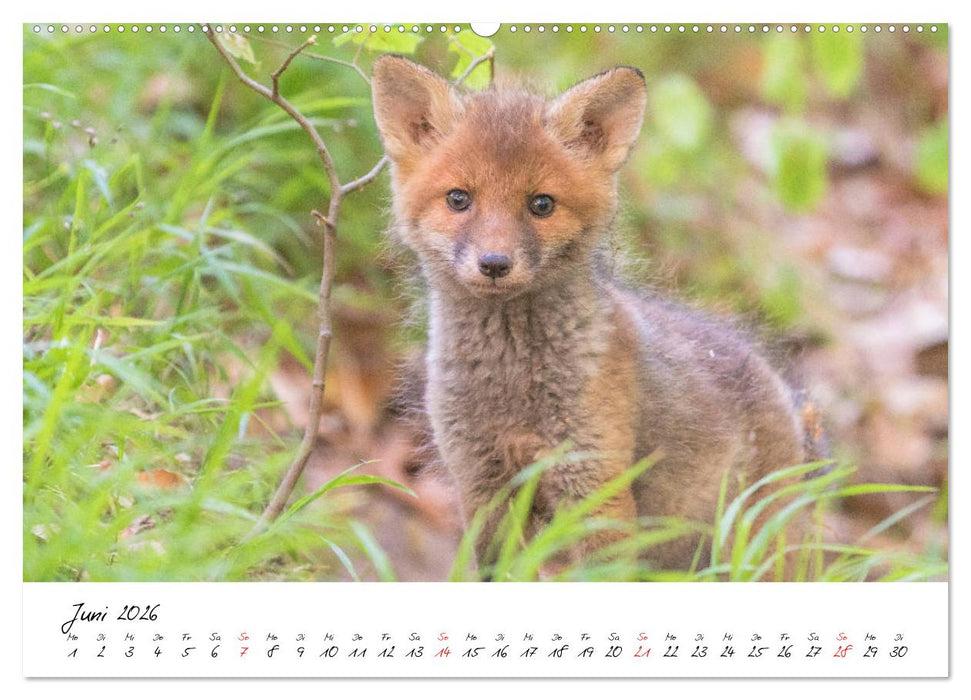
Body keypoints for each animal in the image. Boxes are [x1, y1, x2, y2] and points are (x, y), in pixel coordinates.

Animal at [371, 55, 822, 573]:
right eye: (458, 199)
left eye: (541, 204)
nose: (495, 264)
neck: (514, 386)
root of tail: (784, 389)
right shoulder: (482, 483)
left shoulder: (593, 481)